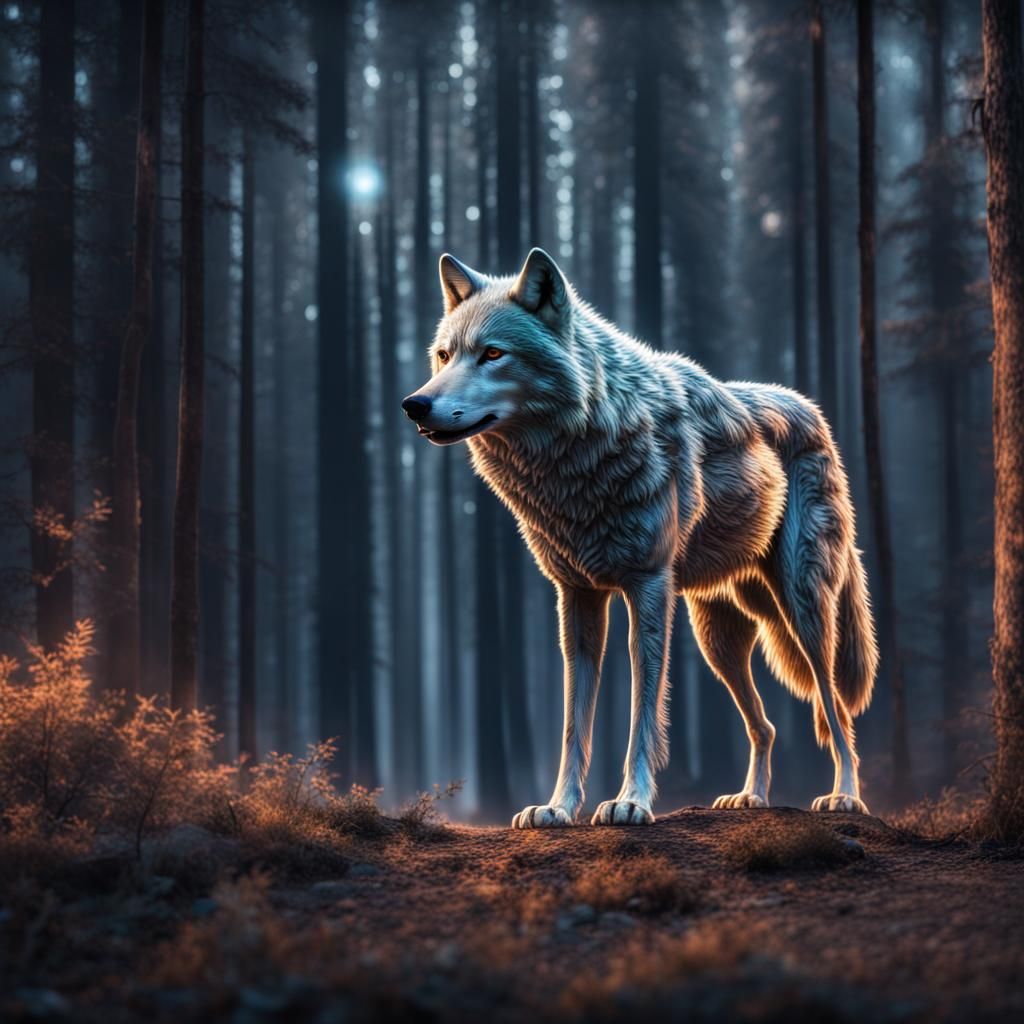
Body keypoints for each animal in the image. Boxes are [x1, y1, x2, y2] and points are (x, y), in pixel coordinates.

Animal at [402, 247, 878, 827]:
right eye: (445, 355)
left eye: (493, 353)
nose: (414, 405)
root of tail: (810, 408)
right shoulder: (576, 599)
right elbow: (573, 724)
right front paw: (557, 807)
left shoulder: (647, 590)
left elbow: (643, 713)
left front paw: (631, 801)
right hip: (718, 638)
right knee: (765, 725)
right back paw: (751, 797)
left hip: (804, 611)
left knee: (836, 712)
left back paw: (846, 797)